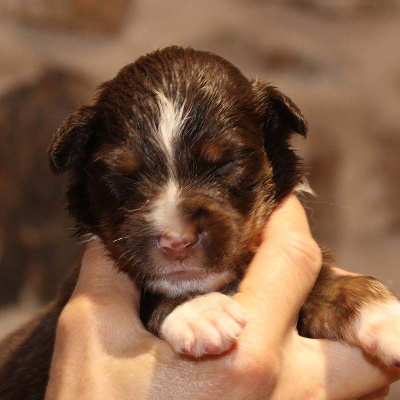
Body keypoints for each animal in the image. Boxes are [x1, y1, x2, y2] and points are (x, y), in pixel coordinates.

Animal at [0, 45, 400, 398]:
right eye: (123, 176)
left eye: (225, 163)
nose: (176, 241)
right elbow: (155, 292)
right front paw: (200, 310)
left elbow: (331, 282)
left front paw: (386, 316)